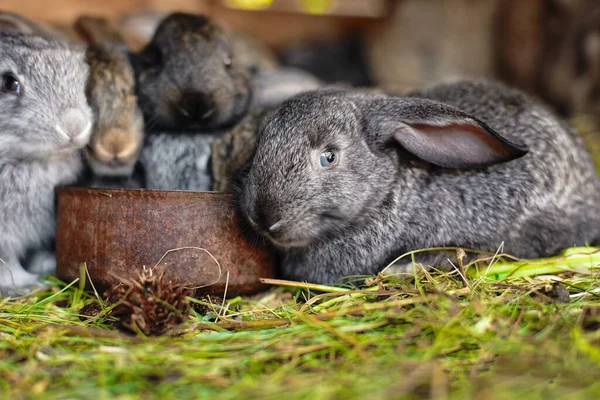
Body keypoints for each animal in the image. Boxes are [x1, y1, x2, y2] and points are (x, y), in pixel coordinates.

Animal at [0, 32, 92, 294]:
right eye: (8, 83)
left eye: (82, 81)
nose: (75, 125)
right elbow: (6, 262)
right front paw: (24, 285)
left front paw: (46, 264)